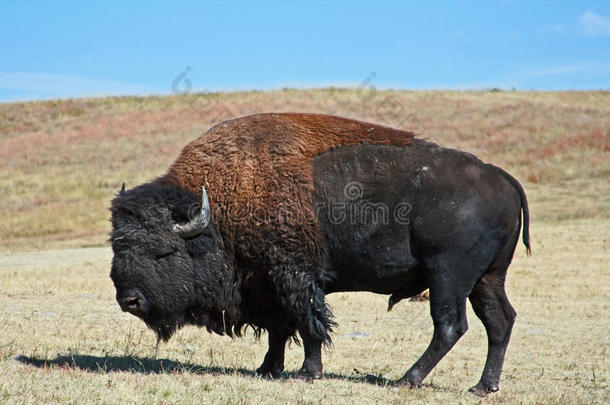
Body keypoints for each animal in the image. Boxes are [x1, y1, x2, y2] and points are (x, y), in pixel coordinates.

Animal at [109, 112, 528, 396]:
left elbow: (308, 324)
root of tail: (501, 177)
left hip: (448, 276)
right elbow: (278, 329)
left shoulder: (294, 277)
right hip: (487, 278)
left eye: (163, 251)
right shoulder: (266, 284)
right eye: (116, 246)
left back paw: (407, 379)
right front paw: (267, 368)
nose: (129, 300)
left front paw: (308, 372)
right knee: (499, 321)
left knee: (450, 324)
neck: (220, 210)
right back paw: (482, 387)